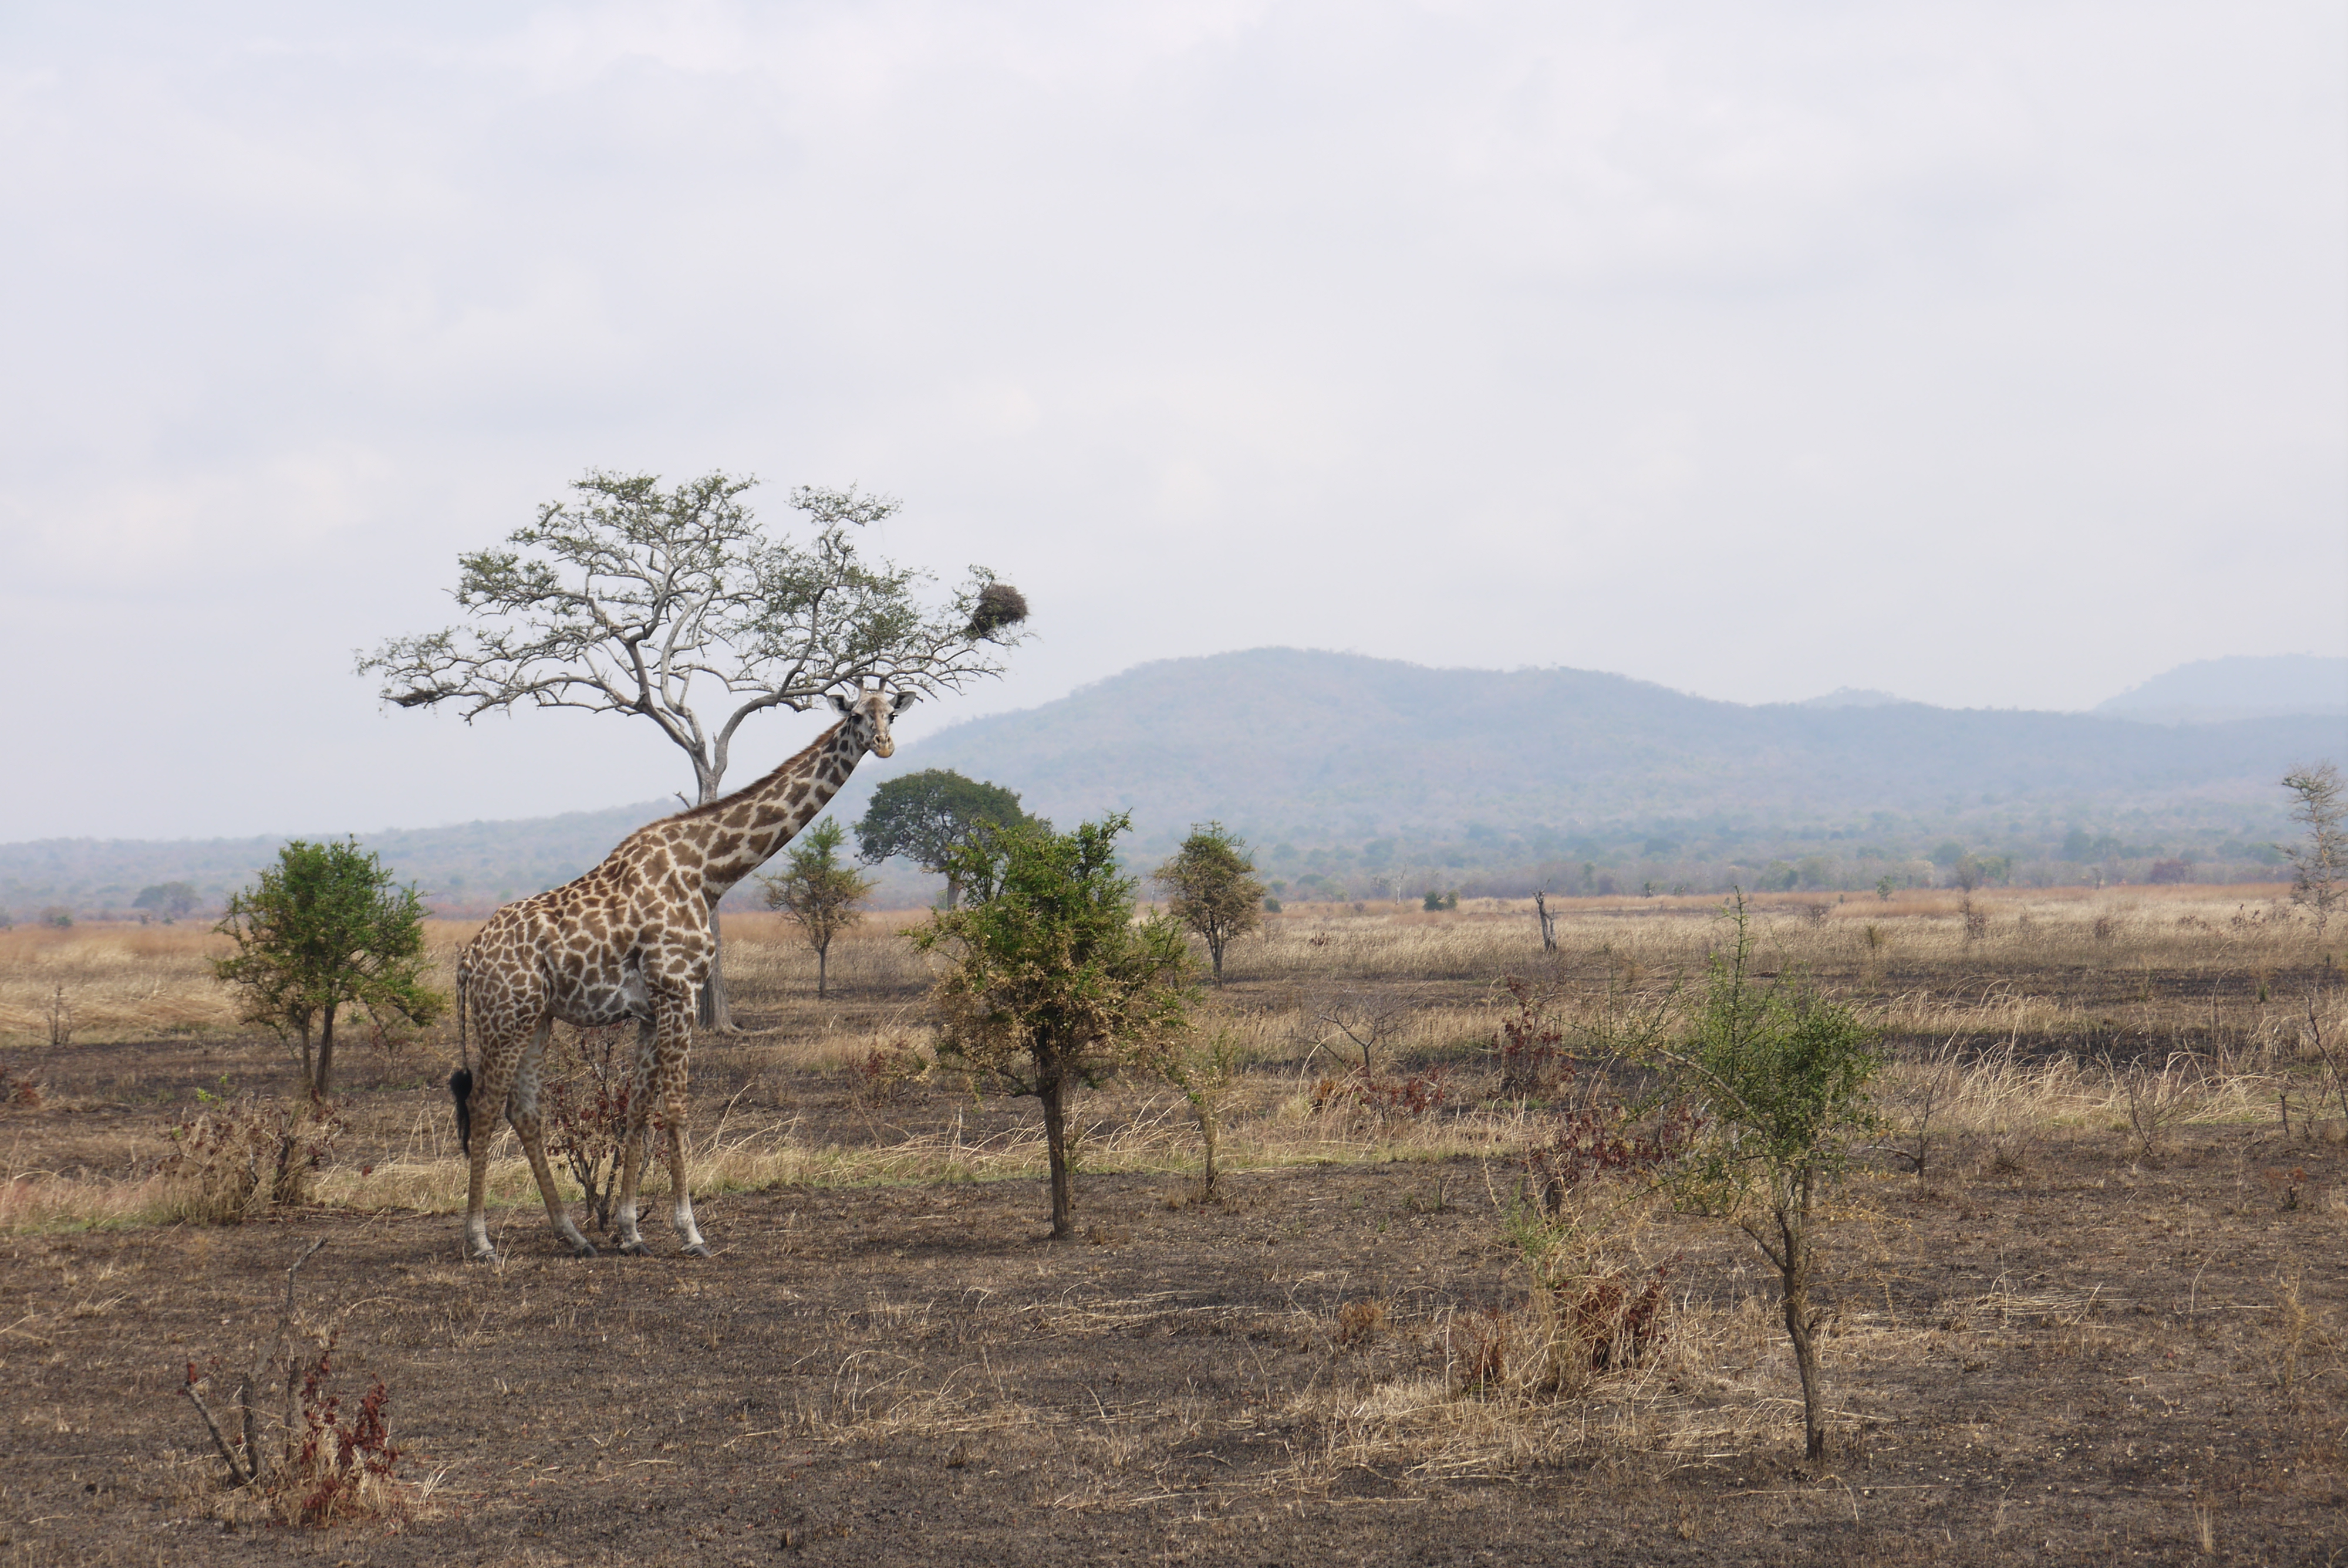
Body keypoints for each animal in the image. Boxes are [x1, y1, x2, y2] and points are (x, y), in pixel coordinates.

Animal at [448, 686, 914, 1262]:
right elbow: (675, 1108)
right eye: (855, 716)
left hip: (537, 1019)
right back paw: (480, 1241)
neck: (708, 871)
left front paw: (630, 1232)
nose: (885, 743)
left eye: (891, 713)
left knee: (525, 1110)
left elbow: (637, 1110)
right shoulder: (679, 990)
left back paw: (574, 1235)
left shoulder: (651, 1008)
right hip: (505, 1015)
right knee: (484, 1105)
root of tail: (469, 958)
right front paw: (691, 1232)